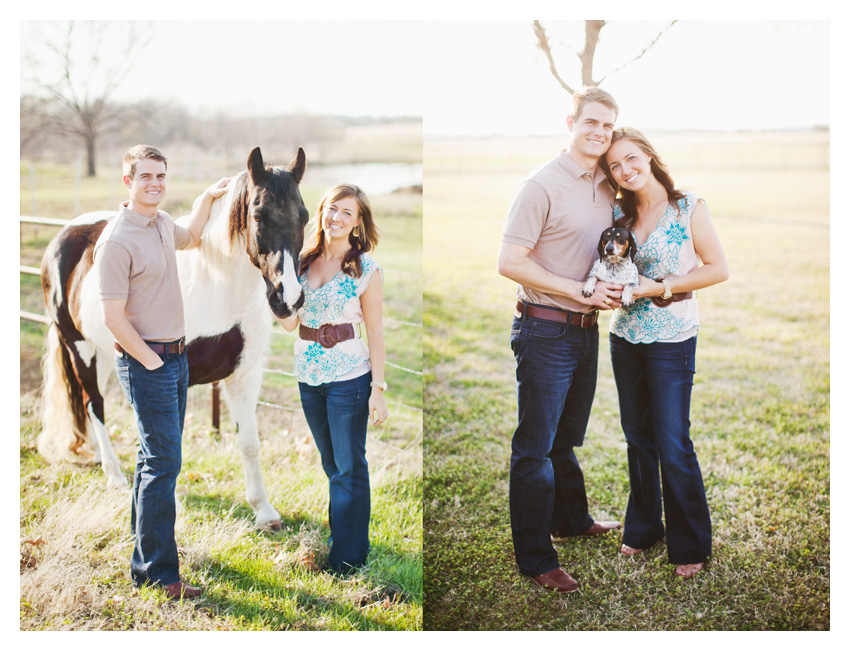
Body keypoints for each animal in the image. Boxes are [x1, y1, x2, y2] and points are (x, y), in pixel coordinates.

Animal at [38, 146, 308, 528]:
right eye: (258, 215)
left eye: (305, 217)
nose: (289, 299)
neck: (218, 288)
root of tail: (64, 235)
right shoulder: (176, 379)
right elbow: (171, 443)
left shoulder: (244, 375)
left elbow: (249, 442)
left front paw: (264, 511)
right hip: (78, 346)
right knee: (95, 402)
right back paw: (114, 474)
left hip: (104, 352)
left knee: (91, 401)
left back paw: (97, 455)